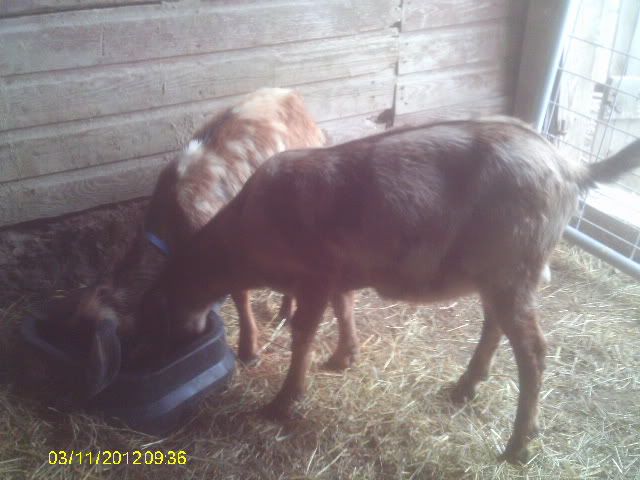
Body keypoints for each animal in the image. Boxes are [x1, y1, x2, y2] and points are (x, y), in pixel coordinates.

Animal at [147, 116, 640, 463]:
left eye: (169, 298)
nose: (176, 342)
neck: (248, 228)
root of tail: (567, 165)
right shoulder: (338, 273)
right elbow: (345, 309)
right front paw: (344, 357)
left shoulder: (315, 275)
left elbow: (303, 335)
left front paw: (285, 400)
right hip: (495, 273)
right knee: (494, 326)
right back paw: (467, 385)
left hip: (511, 268)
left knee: (533, 353)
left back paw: (518, 445)